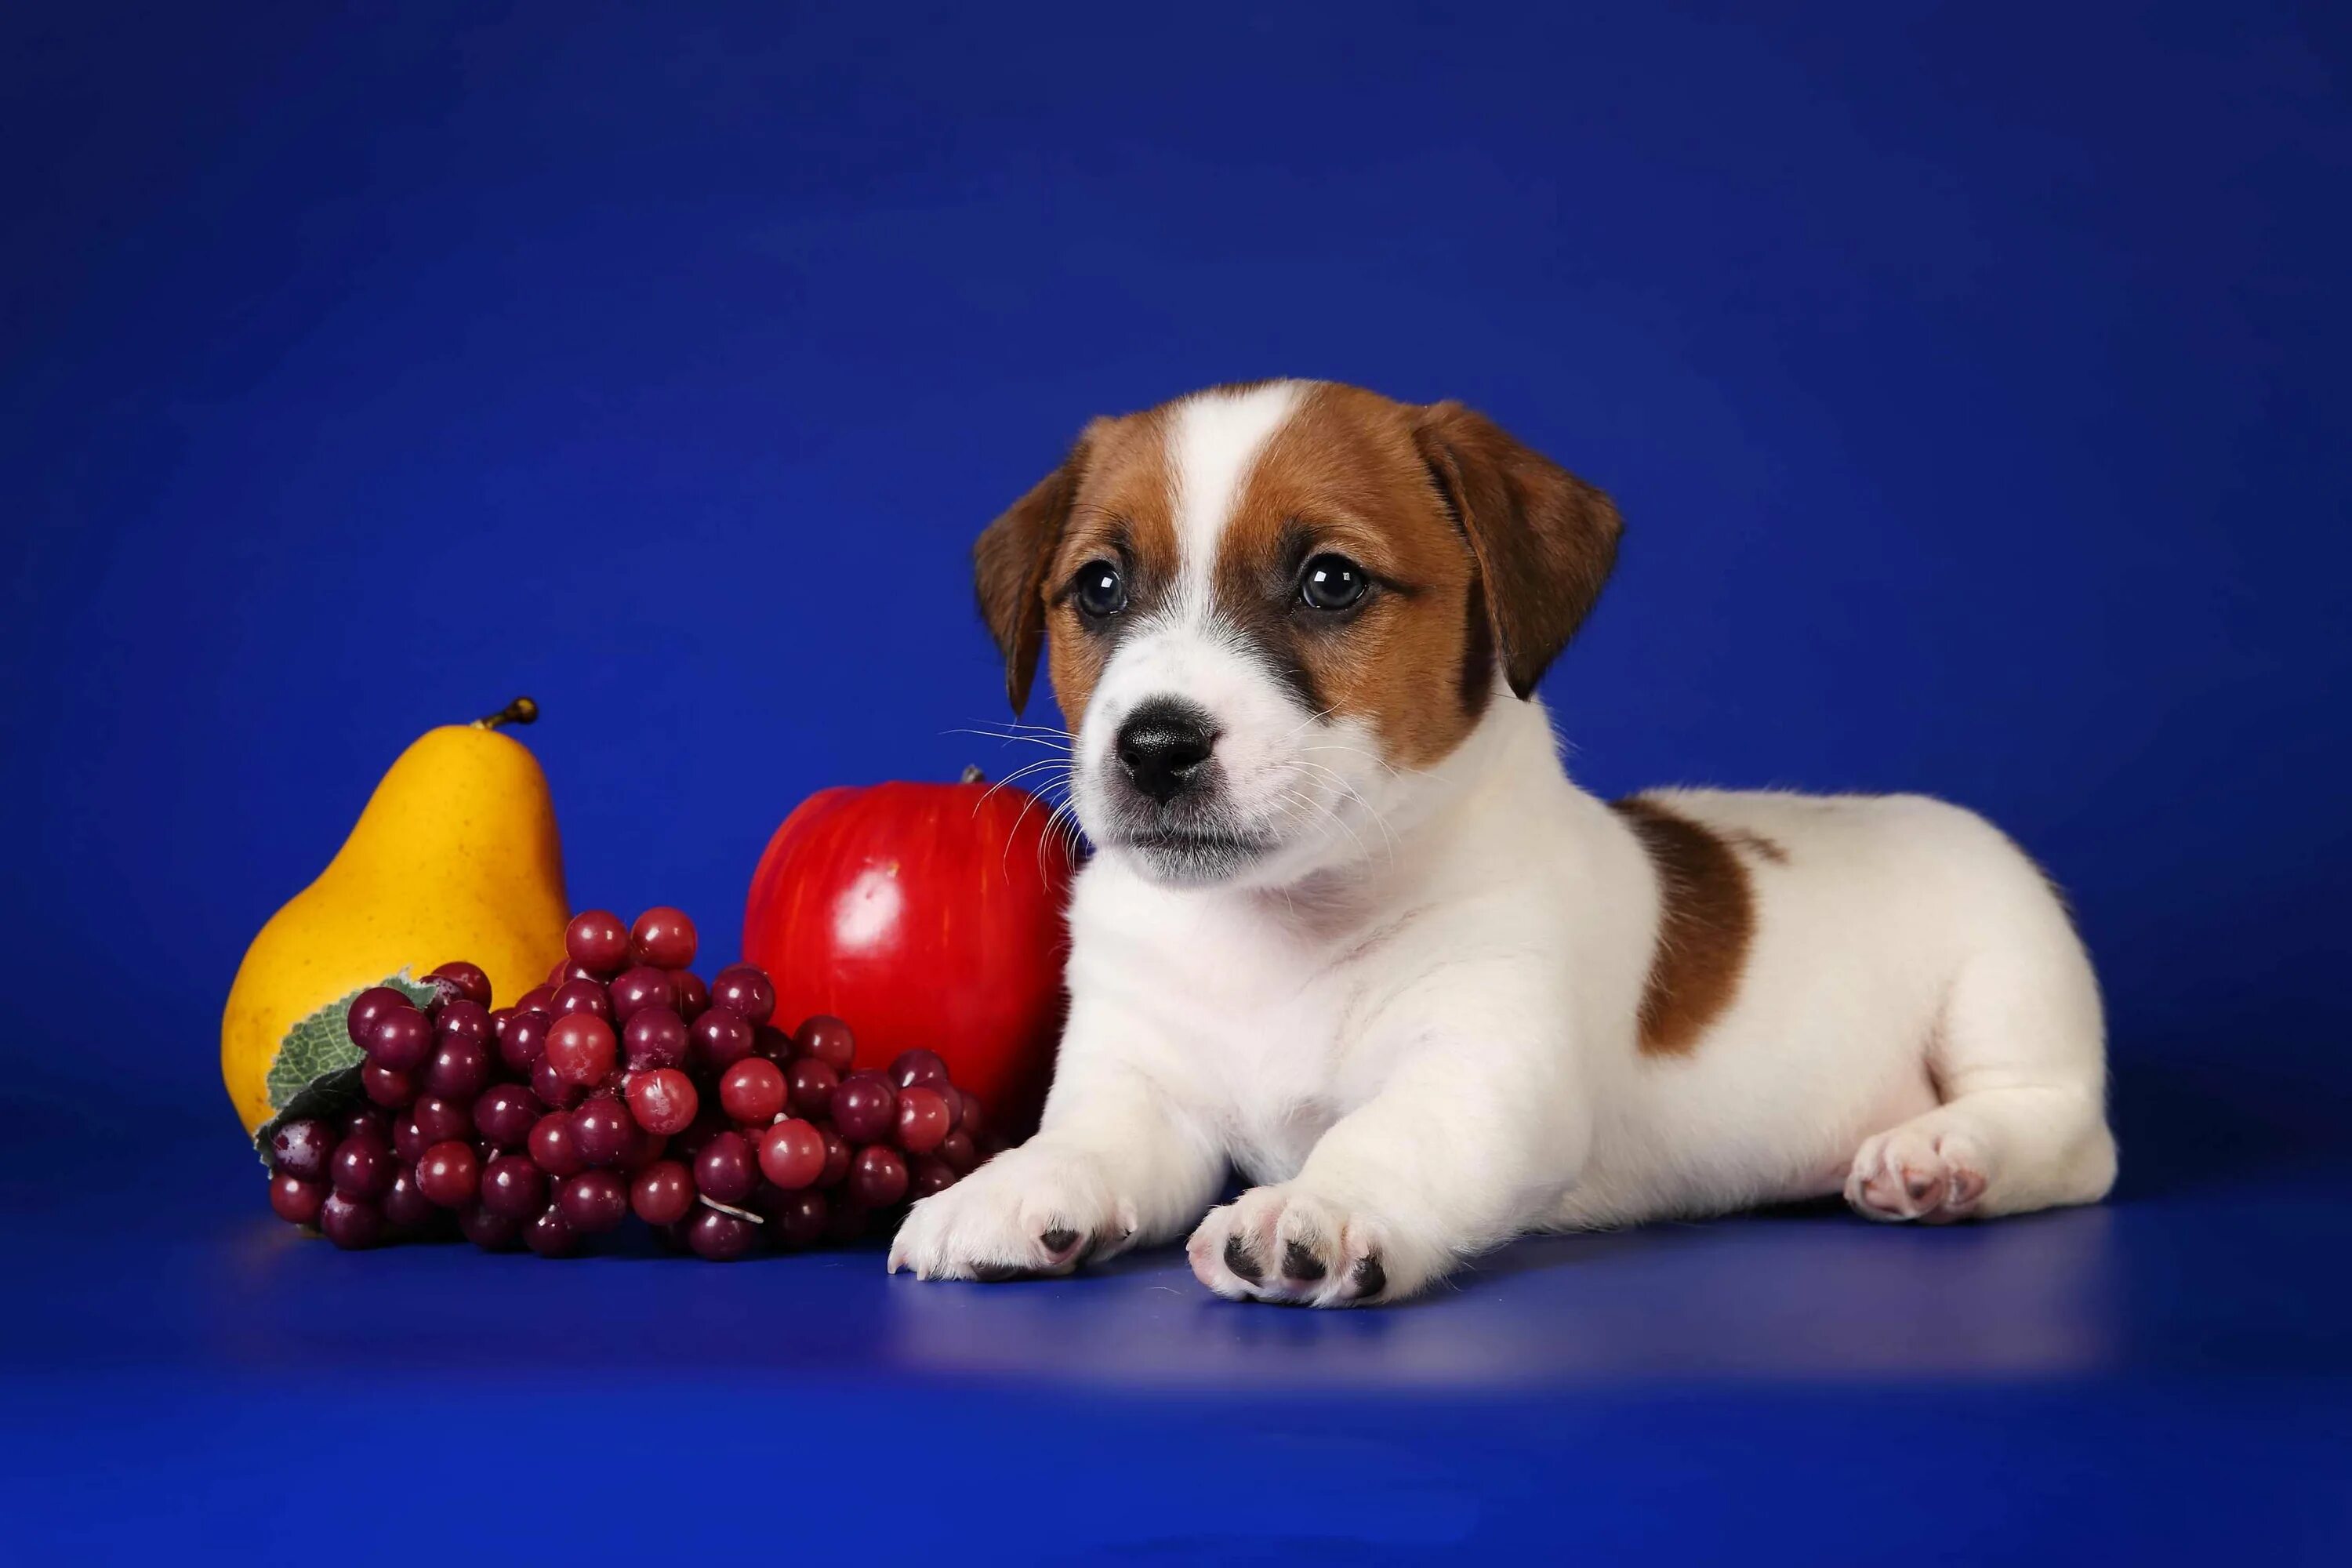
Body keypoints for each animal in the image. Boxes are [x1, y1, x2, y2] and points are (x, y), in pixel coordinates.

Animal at [889, 376, 2126, 1298]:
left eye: (1330, 580)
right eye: (1099, 587)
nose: (1153, 746)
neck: (1282, 920)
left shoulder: (1484, 1071)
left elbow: (1383, 1138)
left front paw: (1319, 1205)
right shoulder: (1141, 1083)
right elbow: (1086, 1141)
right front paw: (1006, 1188)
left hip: (2009, 985)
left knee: (2068, 1134)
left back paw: (1944, 1157)